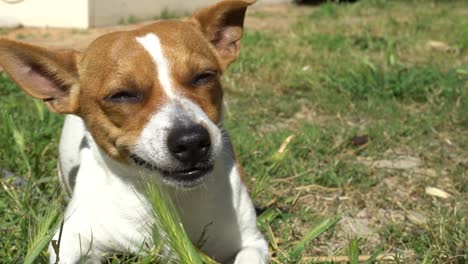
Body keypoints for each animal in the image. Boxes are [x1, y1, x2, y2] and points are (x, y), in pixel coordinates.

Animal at [0, 1, 268, 262]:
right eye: (122, 95)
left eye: (204, 77)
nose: (191, 141)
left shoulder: (252, 242)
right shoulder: (70, 239)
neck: (171, 195)